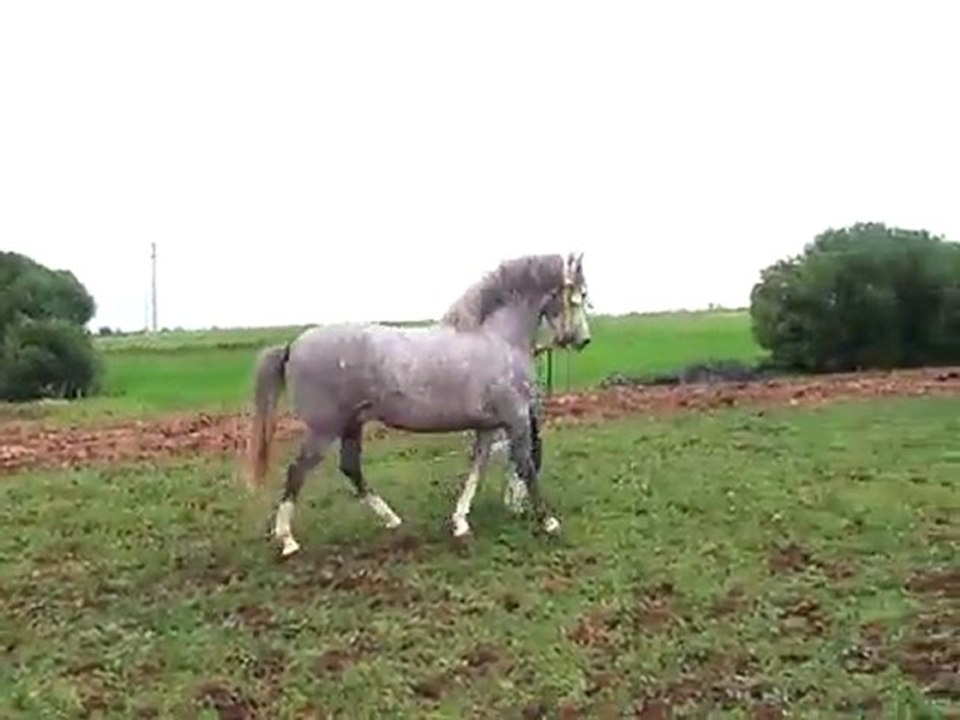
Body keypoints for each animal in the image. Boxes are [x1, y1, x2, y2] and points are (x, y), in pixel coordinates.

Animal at [247, 252, 592, 557]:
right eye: (577, 296)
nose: (583, 340)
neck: (497, 339)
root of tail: (293, 346)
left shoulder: (488, 426)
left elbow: (477, 469)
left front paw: (460, 523)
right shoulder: (516, 419)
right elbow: (526, 465)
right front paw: (549, 522)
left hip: (351, 424)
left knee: (350, 468)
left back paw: (392, 519)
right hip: (324, 428)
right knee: (297, 472)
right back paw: (287, 541)